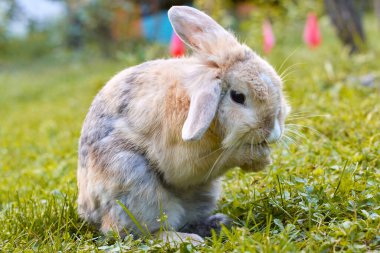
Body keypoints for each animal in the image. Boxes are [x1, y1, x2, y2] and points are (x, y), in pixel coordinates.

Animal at [78, 5, 290, 243]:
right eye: (238, 97)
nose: (272, 132)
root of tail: (88, 211)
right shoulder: (185, 157)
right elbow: (215, 160)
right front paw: (258, 158)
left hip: (203, 194)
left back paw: (217, 223)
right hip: (133, 181)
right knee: (139, 233)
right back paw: (185, 238)